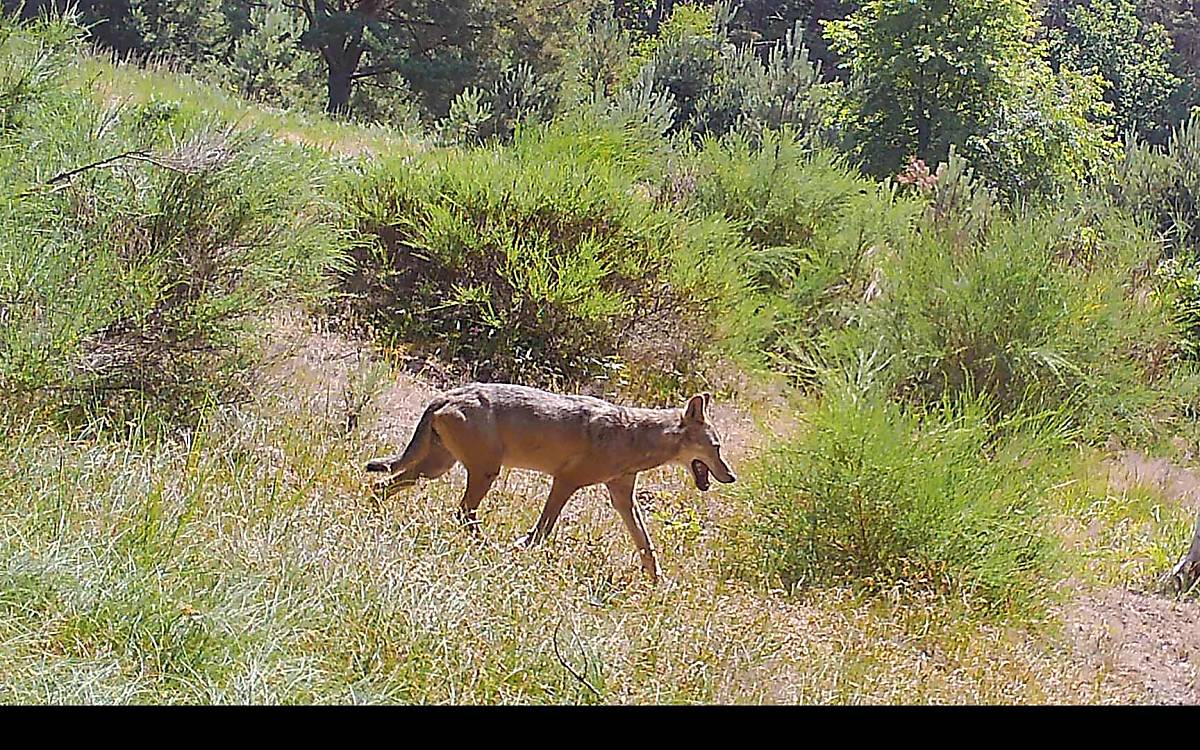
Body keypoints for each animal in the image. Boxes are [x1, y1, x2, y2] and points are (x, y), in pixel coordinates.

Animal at [364, 384, 734, 576]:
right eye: (716, 448)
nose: (731, 477)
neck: (635, 436)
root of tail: (449, 394)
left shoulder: (622, 498)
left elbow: (646, 544)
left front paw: (656, 581)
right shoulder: (565, 481)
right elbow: (542, 530)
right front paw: (519, 548)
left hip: (436, 469)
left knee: (381, 486)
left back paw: (371, 515)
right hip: (482, 472)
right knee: (462, 513)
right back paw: (487, 546)